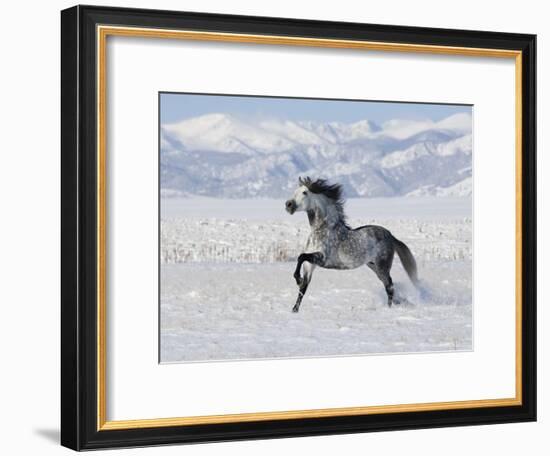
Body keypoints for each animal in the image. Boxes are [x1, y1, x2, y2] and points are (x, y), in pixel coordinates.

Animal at [286, 176, 420, 312]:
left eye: (304, 192)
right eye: (295, 191)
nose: (288, 205)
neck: (322, 230)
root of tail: (390, 235)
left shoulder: (322, 258)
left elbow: (301, 257)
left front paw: (298, 279)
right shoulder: (310, 265)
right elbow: (303, 288)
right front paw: (294, 310)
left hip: (382, 266)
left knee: (389, 286)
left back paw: (389, 308)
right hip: (373, 266)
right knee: (388, 284)